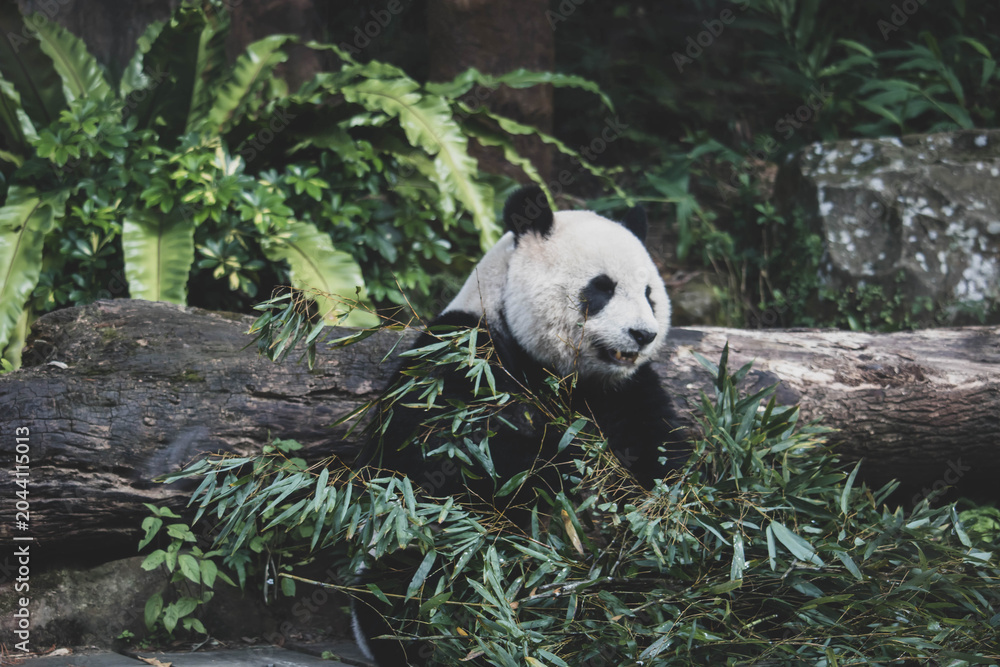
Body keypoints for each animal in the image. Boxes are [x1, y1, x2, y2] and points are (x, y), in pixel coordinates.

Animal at [352, 185, 686, 666]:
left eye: (649, 294)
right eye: (601, 288)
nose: (643, 335)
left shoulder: (625, 389)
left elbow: (659, 457)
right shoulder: (463, 353)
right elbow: (445, 457)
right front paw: (564, 462)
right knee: (412, 582)